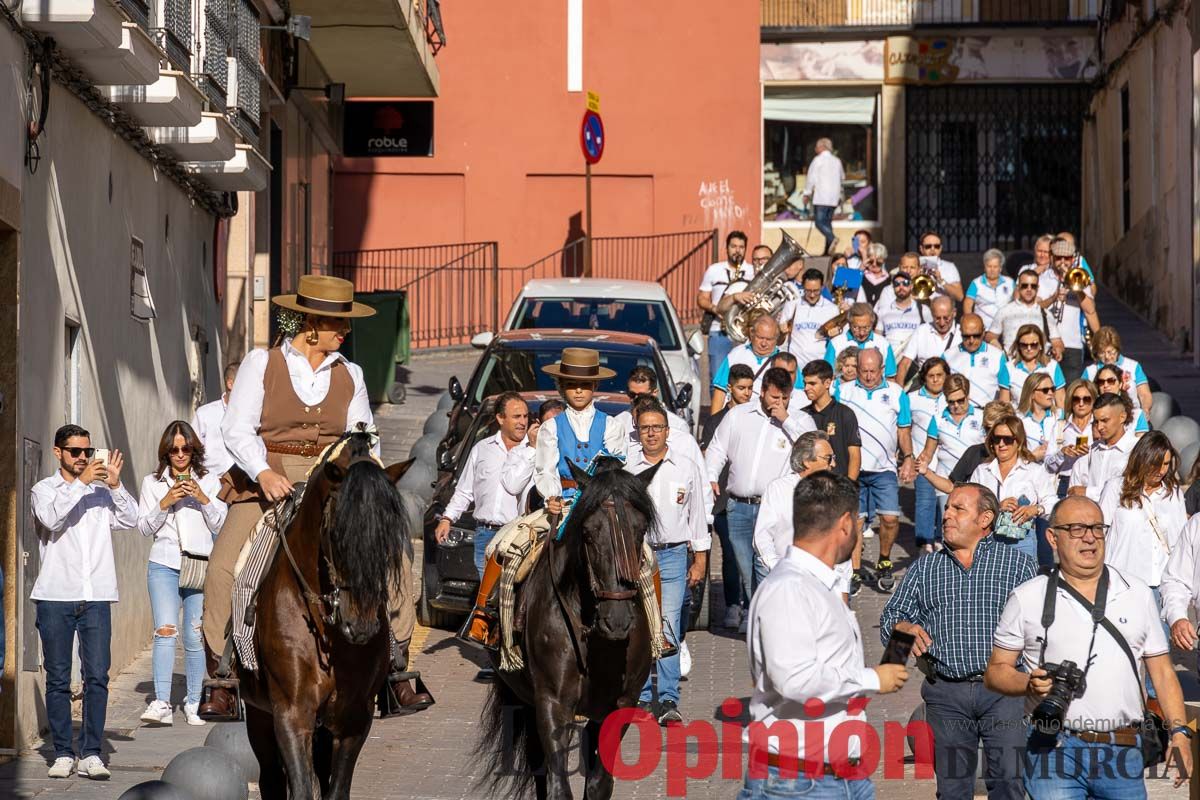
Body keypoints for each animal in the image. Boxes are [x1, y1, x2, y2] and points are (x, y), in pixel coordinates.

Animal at [236, 431, 415, 800]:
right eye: (336, 531)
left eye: (390, 535)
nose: (361, 625)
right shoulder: (291, 714)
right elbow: (302, 789)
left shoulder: (353, 718)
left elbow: (336, 790)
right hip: (259, 714)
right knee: (271, 778)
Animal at [477, 455, 667, 800]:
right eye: (589, 533)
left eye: (640, 530)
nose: (617, 620)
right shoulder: (552, 703)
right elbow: (557, 785)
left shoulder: (620, 704)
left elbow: (599, 783)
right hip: (524, 697)